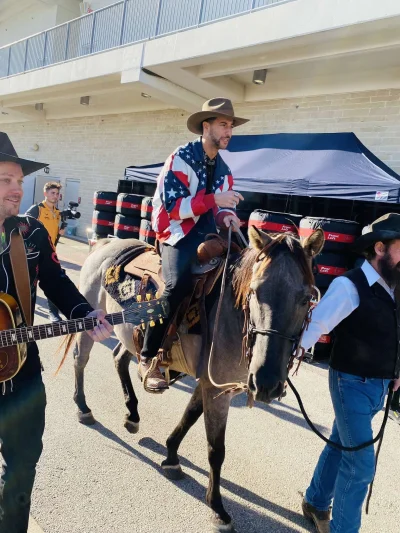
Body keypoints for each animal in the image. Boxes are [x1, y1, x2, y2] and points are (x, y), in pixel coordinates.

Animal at [70, 227, 324, 528]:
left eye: (306, 298)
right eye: (255, 291)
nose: (266, 383)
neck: (231, 314)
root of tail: (107, 243)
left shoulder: (212, 384)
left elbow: (189, 416)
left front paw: (170, 456)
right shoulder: (216, 391)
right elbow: (216, 449)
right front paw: (216, 506)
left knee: (119, 358)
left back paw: (132, 414)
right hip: (90, 324)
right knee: (80, 359)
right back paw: (83, 407)